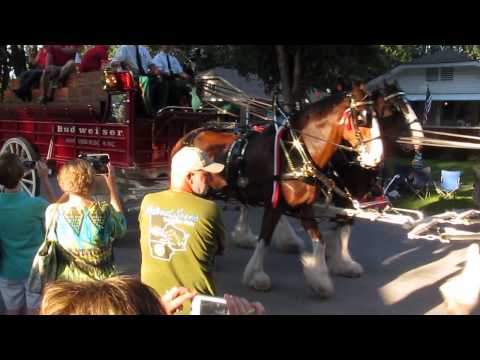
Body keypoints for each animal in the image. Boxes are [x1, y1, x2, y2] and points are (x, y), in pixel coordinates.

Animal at [172, 83, 382, 296]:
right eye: (361, 118)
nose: (376, 158)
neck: (296, 152)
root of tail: (191, 134)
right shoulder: (274, 204)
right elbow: (264, 239)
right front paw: (256, 275)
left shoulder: (304, 205)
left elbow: (320, 240)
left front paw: (321, 279)